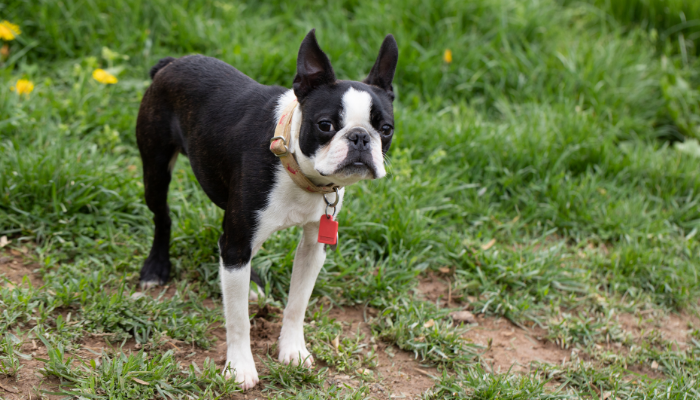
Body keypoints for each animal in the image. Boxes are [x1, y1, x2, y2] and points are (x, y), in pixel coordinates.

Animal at [135, 32, 400, 390]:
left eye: (386, 129)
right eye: (325, 125)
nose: (360, 137)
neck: (300, 173)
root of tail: (171, 63)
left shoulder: (313, 246)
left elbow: (297, 303)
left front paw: (293, 350)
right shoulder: (236, 244)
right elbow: (238, 319)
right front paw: (239, 367)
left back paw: (254, 285)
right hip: (156, 166)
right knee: (162, 216)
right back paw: (156, 268)